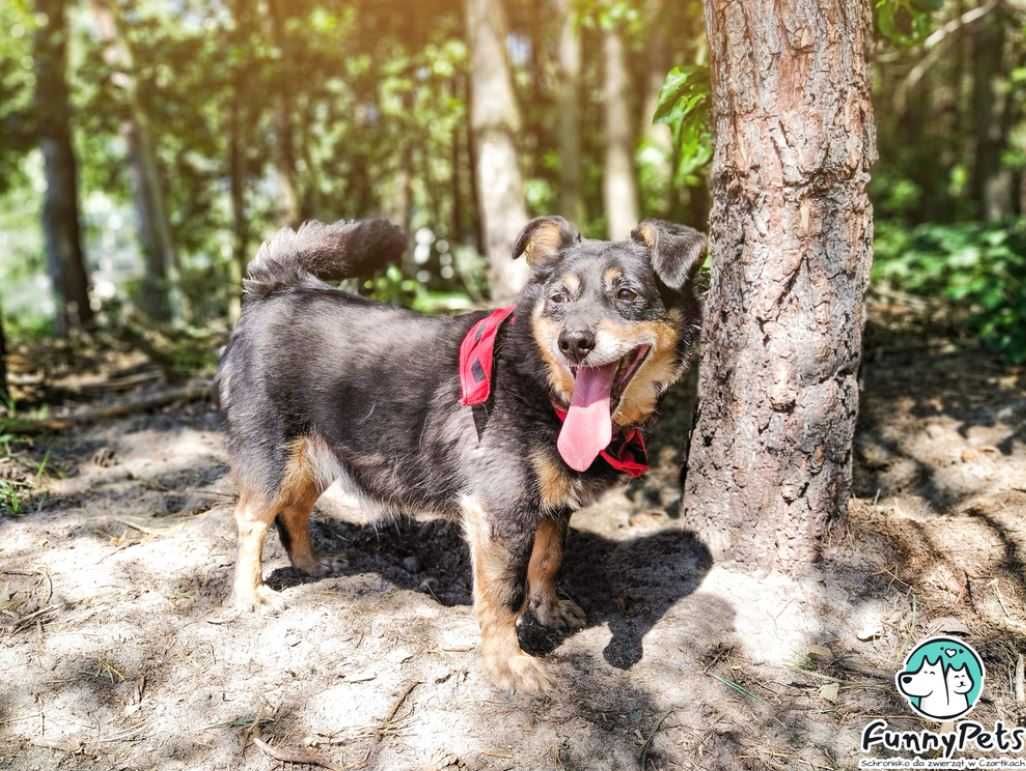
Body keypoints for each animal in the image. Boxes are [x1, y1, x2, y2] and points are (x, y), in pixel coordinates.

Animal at [216, 217, 705, 694]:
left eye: (627, 294)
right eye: (558, 299)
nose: (574, 342)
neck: (543, 389)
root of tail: (278, 286)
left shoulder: (550, 506)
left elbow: (548, 561)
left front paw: (547, 611)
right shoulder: (500, 511)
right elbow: (505, 595)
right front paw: (509, 665)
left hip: (315, 456)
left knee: (294, 511)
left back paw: (312, 564)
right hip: (271, 452)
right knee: (251, 520)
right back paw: (249, 595)